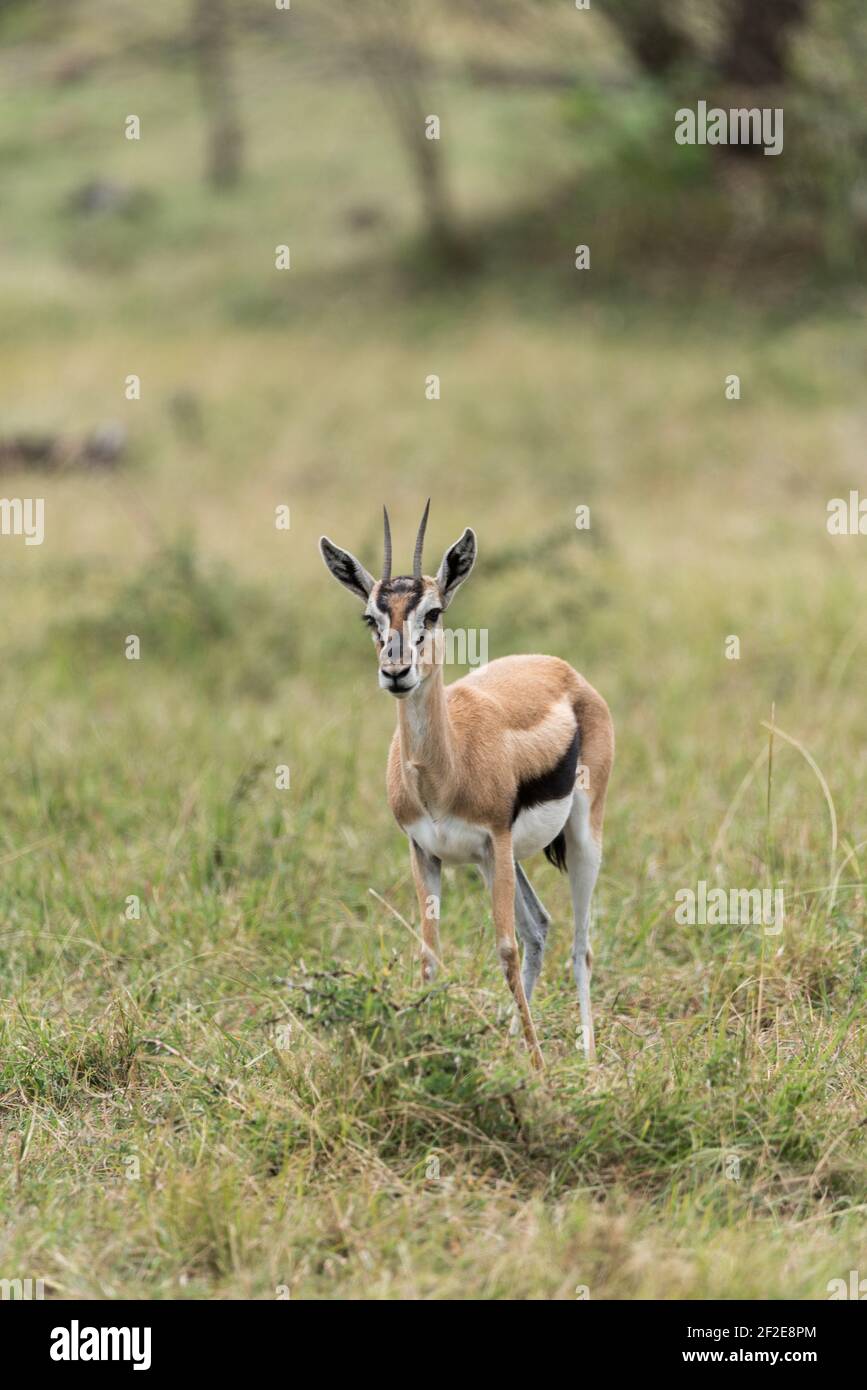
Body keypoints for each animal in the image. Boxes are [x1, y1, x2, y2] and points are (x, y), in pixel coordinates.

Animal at [319, 503, 614, 1070]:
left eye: (432, 613)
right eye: (371, 618)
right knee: (540, 927)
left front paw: (539, 1068)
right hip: (497, 861)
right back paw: (511, 1040)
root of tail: (563, 670)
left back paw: (586, 1059)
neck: (442, 773)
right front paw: (423, 1048)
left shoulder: (494, 838)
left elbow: (504, 947)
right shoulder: (425, 852)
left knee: (579, 945)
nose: (397, 671)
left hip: (577, 837)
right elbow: (431, 954)